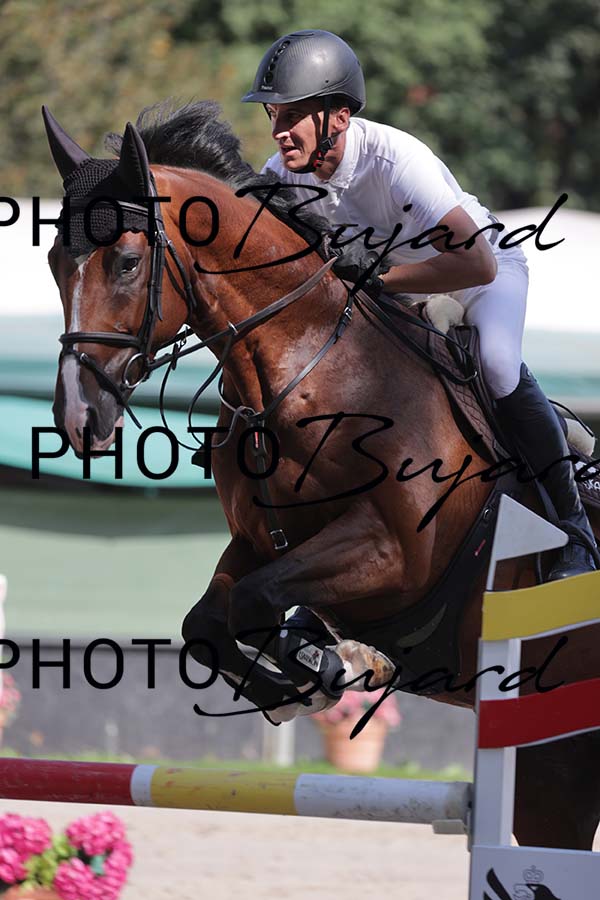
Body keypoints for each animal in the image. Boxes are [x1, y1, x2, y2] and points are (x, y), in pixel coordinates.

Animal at [43, 100, 600, 851]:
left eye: (128, 262)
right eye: (54, 261)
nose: (79, 416)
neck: (304, 365)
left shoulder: (396, 552)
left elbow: (254, 602)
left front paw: (326, 668)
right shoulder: (258, 540)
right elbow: (210, 619)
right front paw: (309, 673)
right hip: (558, 770)